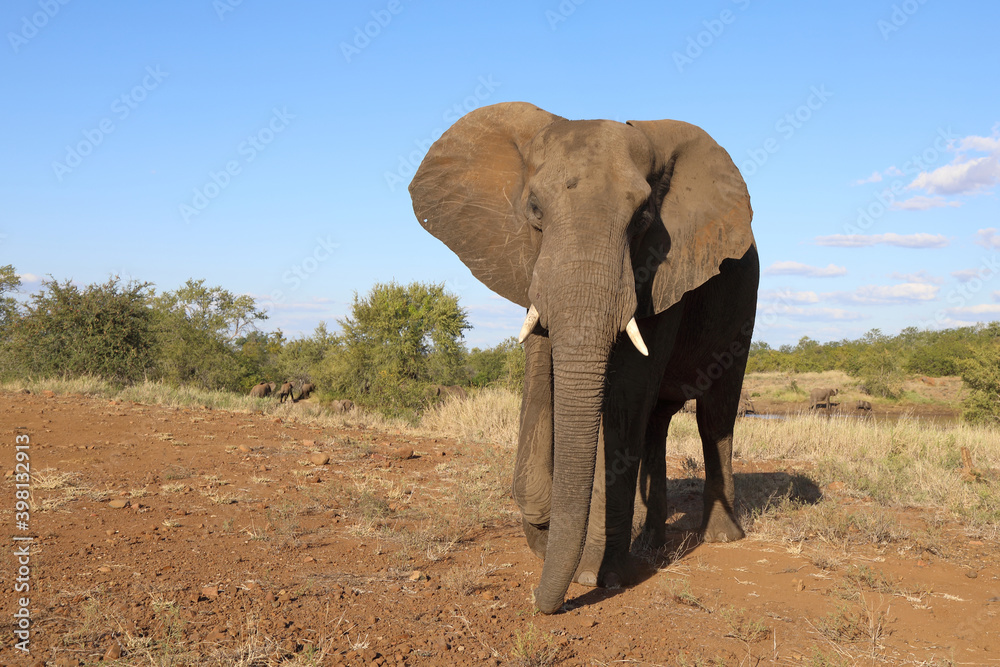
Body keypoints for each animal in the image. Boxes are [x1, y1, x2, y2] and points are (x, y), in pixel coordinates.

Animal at [410, 102, 758, 613]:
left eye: (643, 217)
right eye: (534, 209)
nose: (538, 600)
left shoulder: (659, 271)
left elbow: (623, 400)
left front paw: (596, 575)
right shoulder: (532, 266)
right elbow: (541, 381)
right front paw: (542, 524)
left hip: (743, 300)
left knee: (714, 415)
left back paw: (719, 538)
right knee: (656, 423)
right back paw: (650, 543)